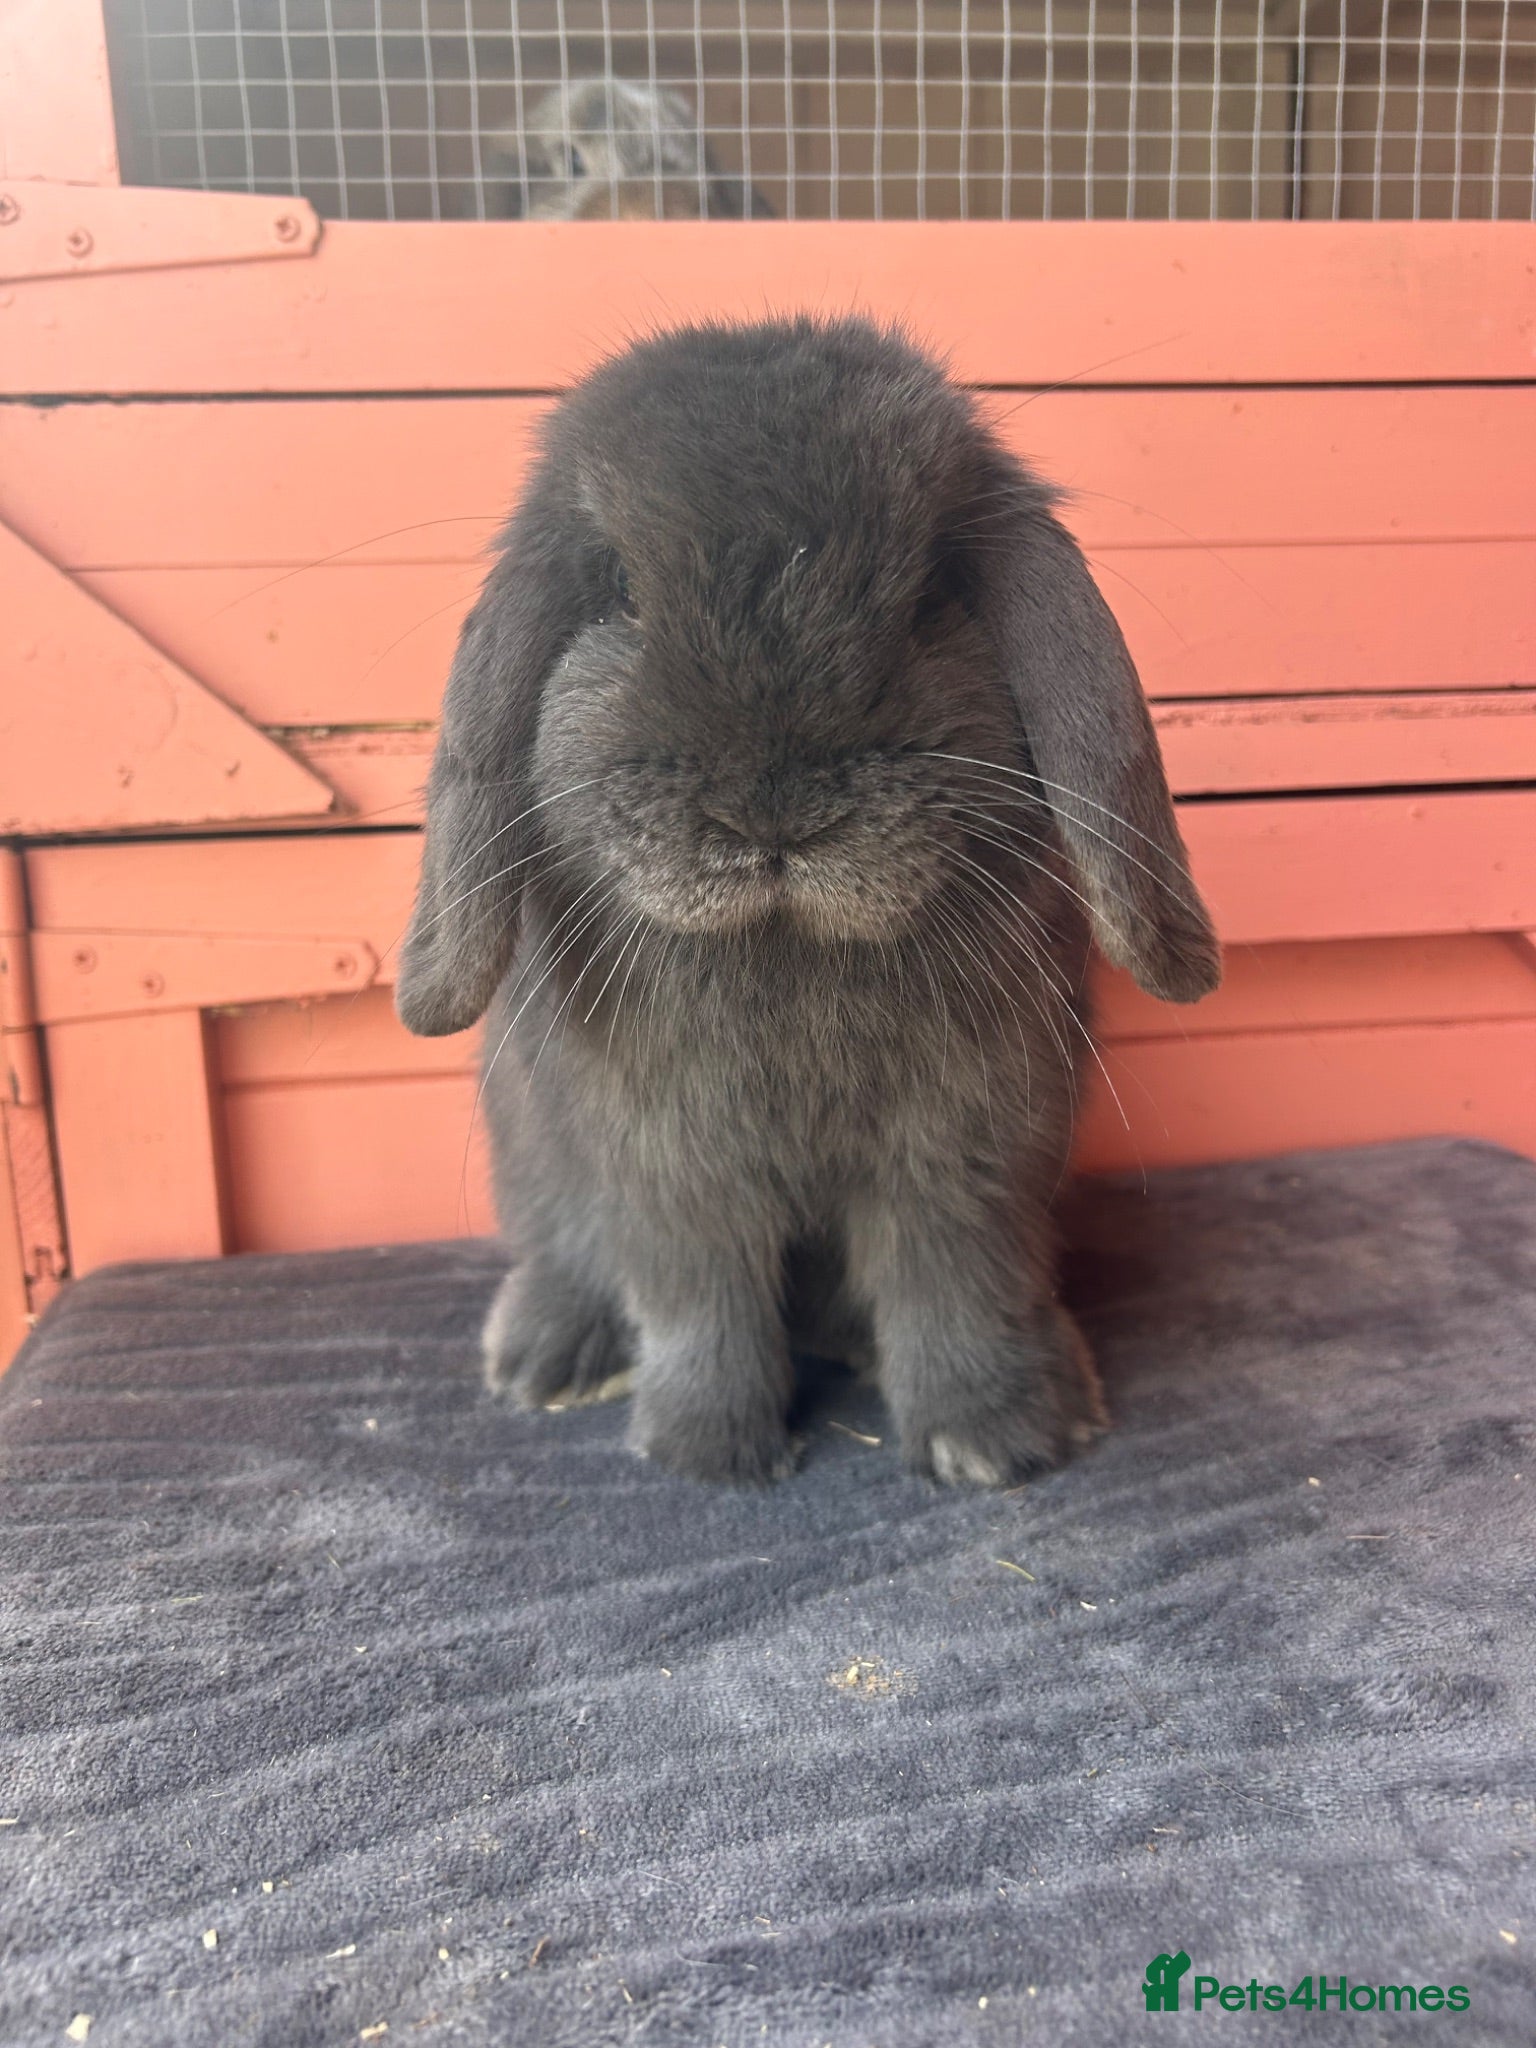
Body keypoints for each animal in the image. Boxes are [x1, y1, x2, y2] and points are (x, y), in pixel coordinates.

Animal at [396, 316, 1220, 1489]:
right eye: (620, 592)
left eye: (930, 594)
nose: (772, 810)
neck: (785, 954)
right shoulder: (669, 1165)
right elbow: (697, 1295)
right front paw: (708, 1451)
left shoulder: (968, 1154)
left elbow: (955, 1280)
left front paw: (998, 1443)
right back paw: (545, 1357)